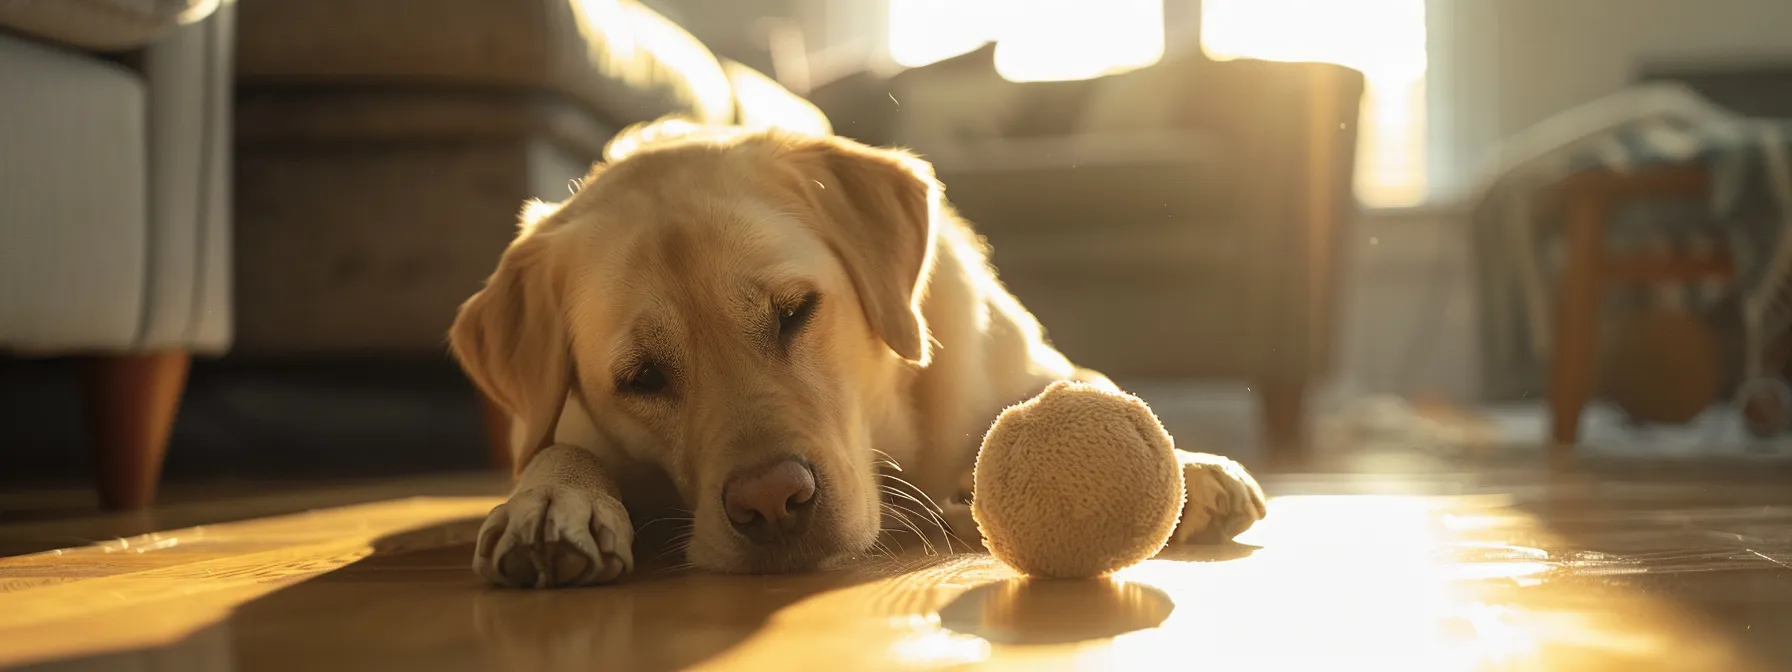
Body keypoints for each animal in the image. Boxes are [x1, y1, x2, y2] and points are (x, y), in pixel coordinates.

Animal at [448, 120, 1268, 587]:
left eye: (794, 312)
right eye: (640, 377)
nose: (772, 503)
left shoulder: (1022, 366)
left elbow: (1086, 388)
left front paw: (1191, 466)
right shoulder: (566, 422)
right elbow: (555, 452)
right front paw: (551, 505)